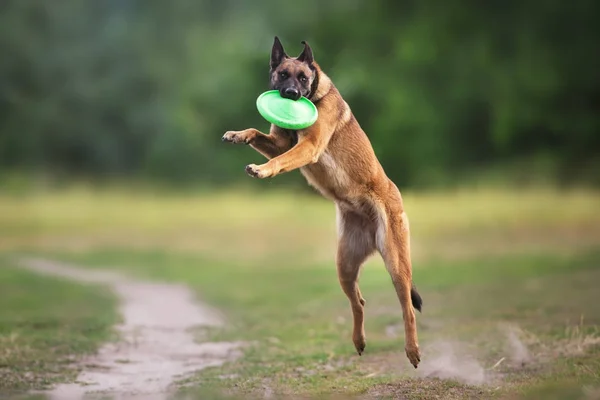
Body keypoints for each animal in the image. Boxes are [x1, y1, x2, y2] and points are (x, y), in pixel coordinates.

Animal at [220, 37, 422, 368]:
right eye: (282, 75)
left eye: (302, 78)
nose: (290, 95)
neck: (316, 94)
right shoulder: (280, 142)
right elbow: (257, 134)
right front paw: (238, 134)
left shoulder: (308, 146)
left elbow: (280, 160)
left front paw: (262, 170)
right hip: (345, 265)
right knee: (358, 301)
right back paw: (359, 340)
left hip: (395, 263)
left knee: (406, 306)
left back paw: (412, 349)